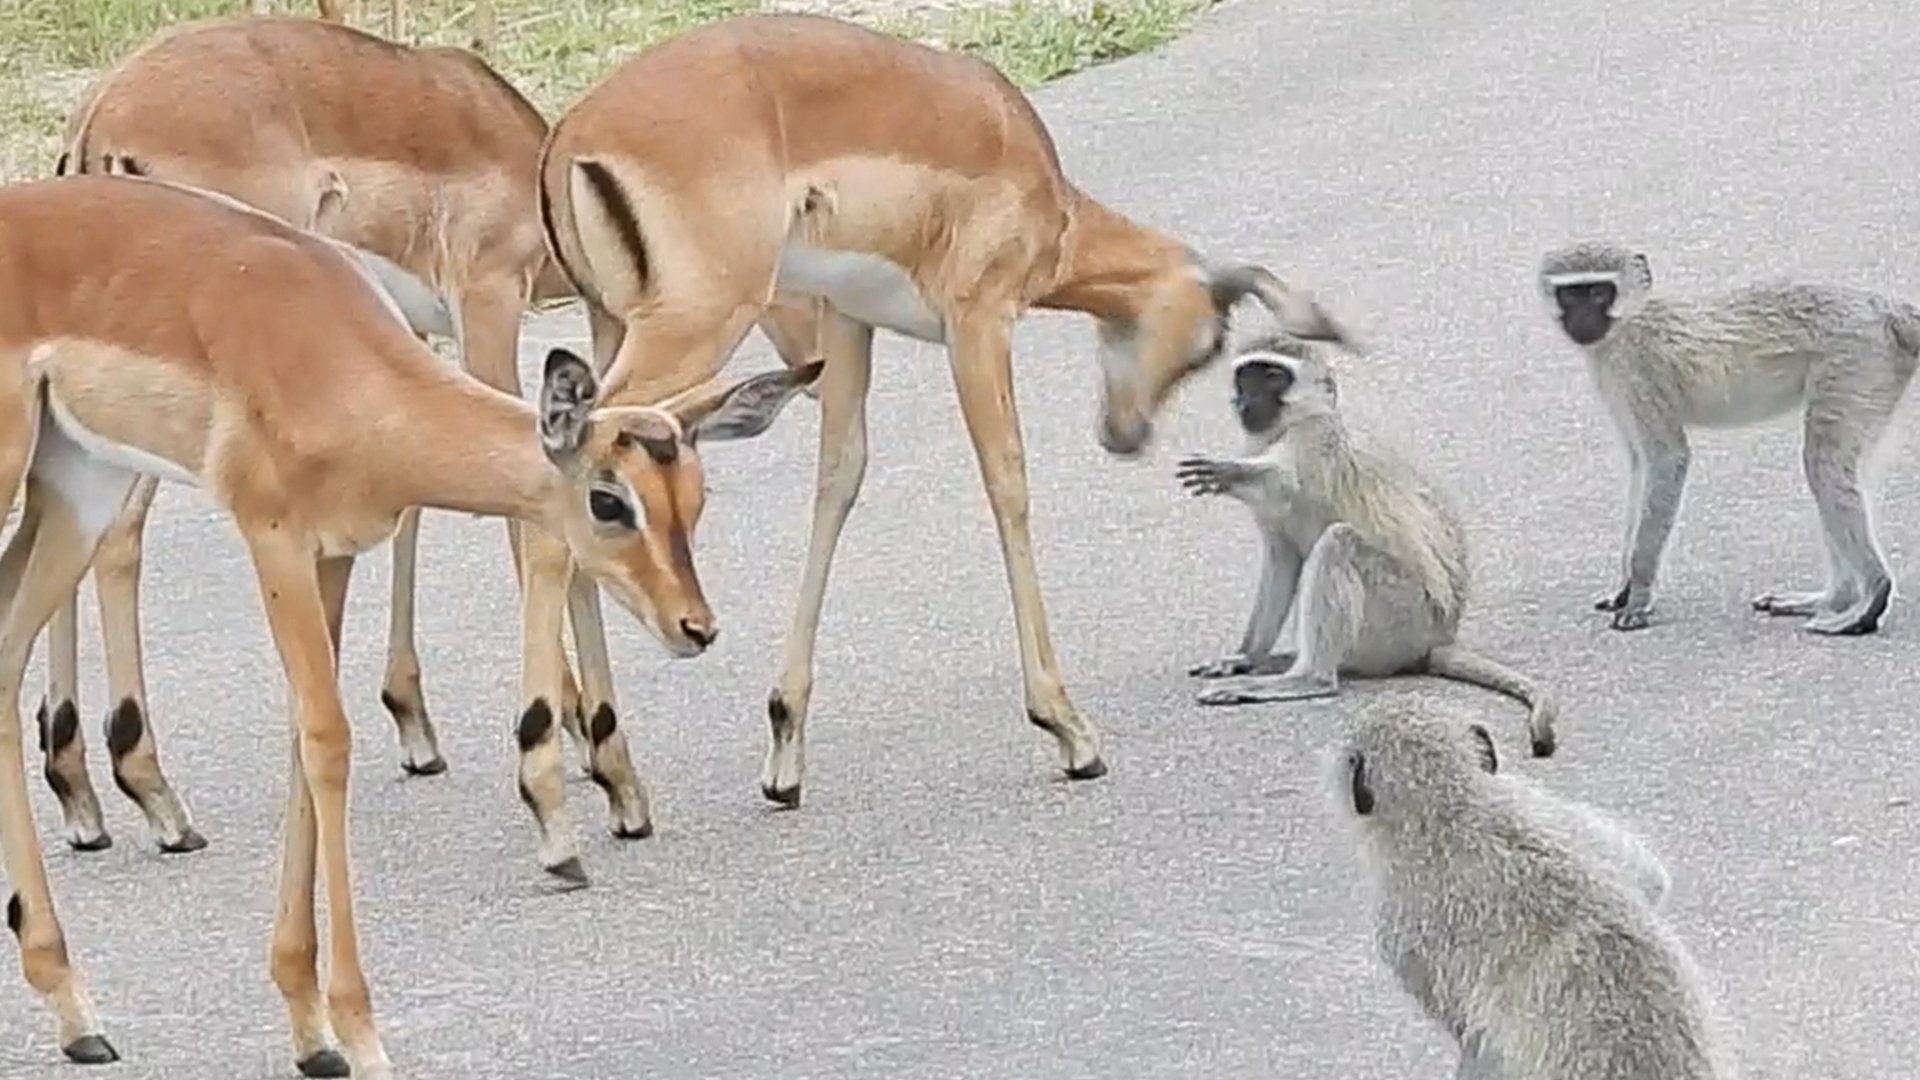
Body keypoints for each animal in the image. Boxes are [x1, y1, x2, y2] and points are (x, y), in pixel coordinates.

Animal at [0, 172, 818, 1076]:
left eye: (694, 497)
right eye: (610, 500)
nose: (694, 626)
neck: (344, 371)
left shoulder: (333, 556)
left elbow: (301, 740)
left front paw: (311, 1029)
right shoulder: (273, 540)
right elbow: (329, 742)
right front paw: (362, 1036)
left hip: (78, 490)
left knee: (5, 652)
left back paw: (77, 1012)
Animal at [45, 13, 827, 859]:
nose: (813, 364)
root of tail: (100, 112)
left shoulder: (410, 344)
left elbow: (416, 512)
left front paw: (415, 723)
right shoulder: (485, 305)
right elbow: (526, 519)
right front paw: (597, 755)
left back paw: (84, 794)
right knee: (117, 539)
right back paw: (149, 794)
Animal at [538, 13, 1359, 810]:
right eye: (1213, 343)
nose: (1128, 436)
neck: (1036, 180)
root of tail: (570, 136)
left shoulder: (847, 323)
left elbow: (839, 480)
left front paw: (785, 747)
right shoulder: (979, 323)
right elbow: (1008, 482)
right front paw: (1069, 728)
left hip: (616, 327)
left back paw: (610, 766)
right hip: (692, 329)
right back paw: (605, 773)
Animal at [1174, 334, 1557, 759]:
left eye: (1273, 376)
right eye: (1247, 376)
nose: (1247, 398)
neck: (1287, 429)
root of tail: (1438, 639)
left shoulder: (1317, 440)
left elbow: (1287, 484)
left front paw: (1231, 473)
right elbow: (1281, 560)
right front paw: (1245, 657)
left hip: (1402, 618)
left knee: (1339, 543)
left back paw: (1310, 677)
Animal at [1538, 240, 1920, 635]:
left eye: (1599, 292)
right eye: (1572, 294)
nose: (1583, 320)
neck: (1628, 323)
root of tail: (1886, 309)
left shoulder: (1639, 369)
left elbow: (1667, 459)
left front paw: (1639, 596)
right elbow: (1639, 465)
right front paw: (1624, 588)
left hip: (1856, 362)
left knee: (1823, 462)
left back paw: (1872, 595)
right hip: (1876, 378)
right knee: (1846, 467)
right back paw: (1836, 599)